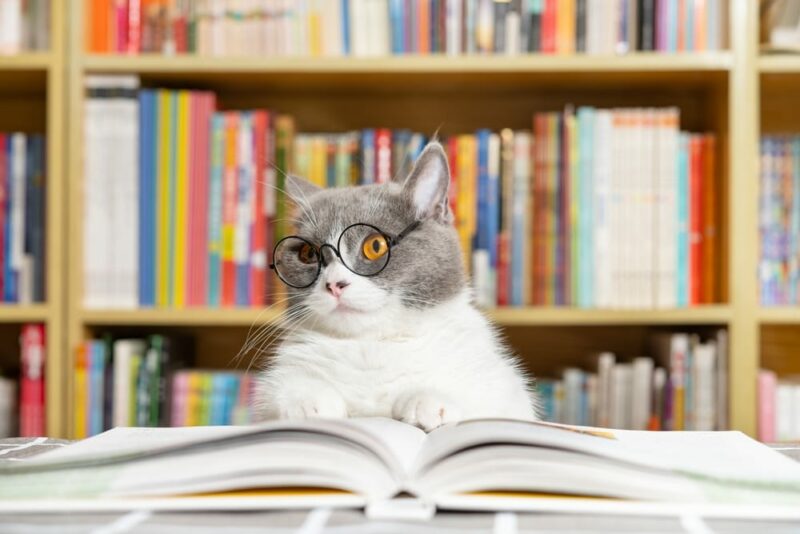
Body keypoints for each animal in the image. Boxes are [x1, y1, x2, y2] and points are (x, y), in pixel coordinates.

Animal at [256, 141, 536, 432]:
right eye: (308, 254)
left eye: (375, 245)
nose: (334, 284)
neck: (371, 345)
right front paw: (306, 403)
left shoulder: (503, 387)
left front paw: (429, 401)